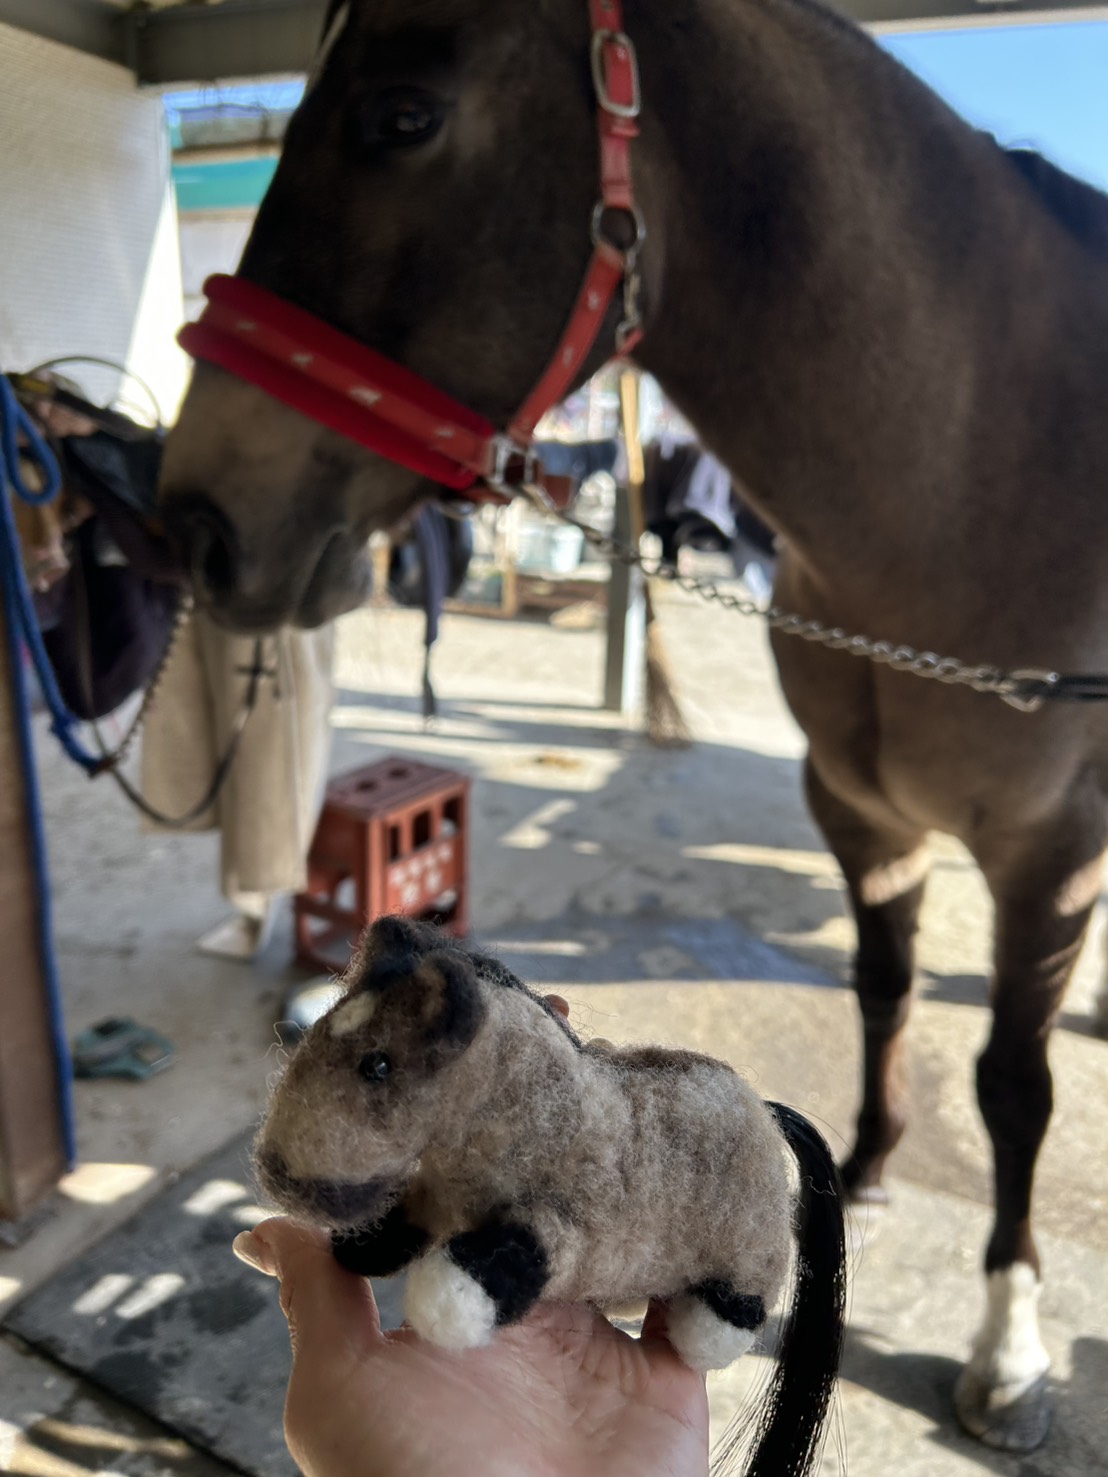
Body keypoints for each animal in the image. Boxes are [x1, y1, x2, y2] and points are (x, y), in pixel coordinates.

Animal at [158, 0, 1108, 1452]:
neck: (982, 490)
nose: (195, 520)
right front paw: (866, 1166)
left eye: (401, 115)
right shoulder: (860, 814)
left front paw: (1008, 1344)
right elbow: (881, 987)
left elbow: (1014, 1084)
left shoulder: (1050, 857)